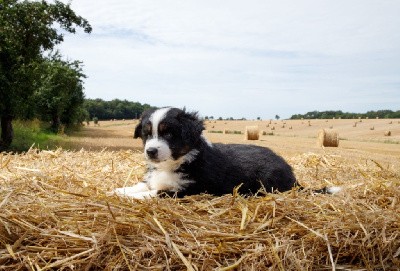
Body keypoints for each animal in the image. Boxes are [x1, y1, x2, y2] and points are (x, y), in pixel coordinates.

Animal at [113, 108, 340, 200]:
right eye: (146, 134)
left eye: (168, 133)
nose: (150, 151)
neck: (177, 162)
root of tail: (293, 176)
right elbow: (143, 185)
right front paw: (118, 191)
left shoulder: (190, 190)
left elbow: (155, 193)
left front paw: (131, 197)